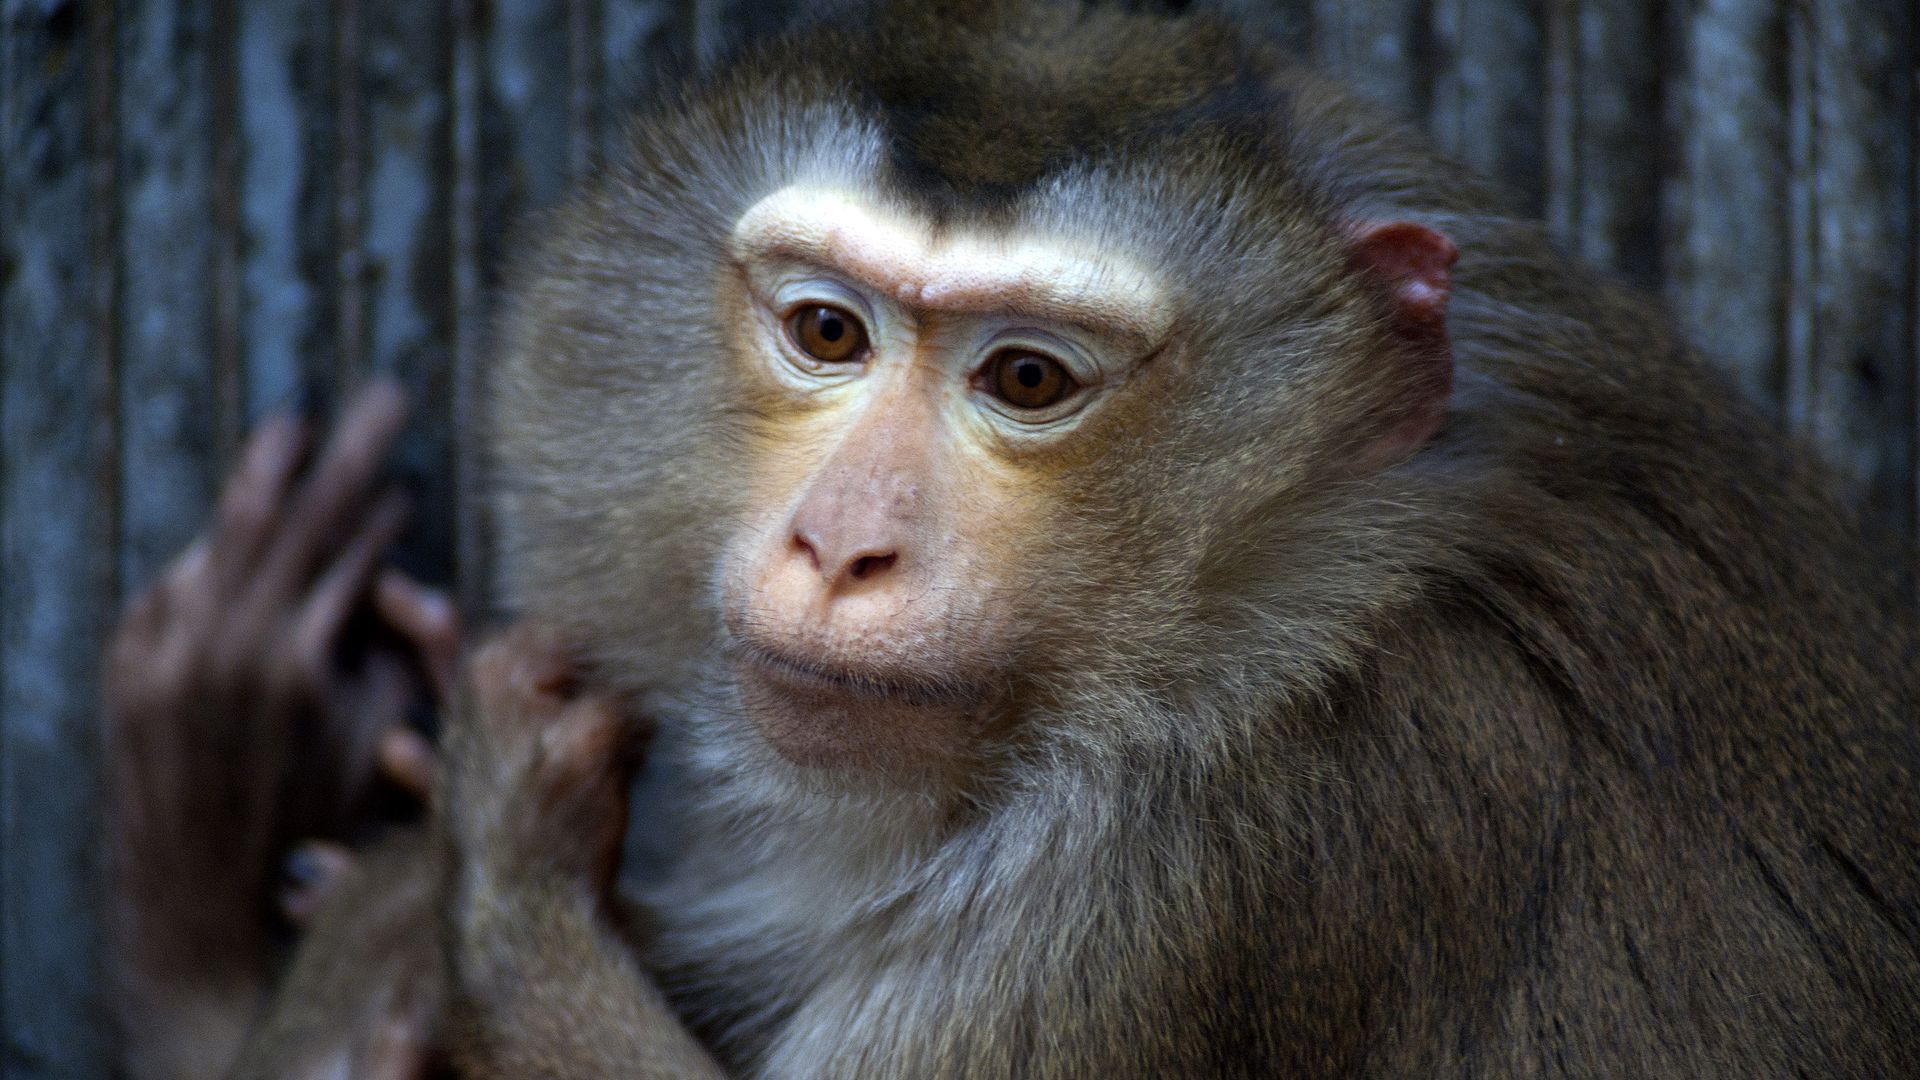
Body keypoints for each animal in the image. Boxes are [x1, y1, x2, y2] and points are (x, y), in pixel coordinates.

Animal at [101, 0, 1920, 1076]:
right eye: (827, 334)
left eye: (1029, 379)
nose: (845, 547)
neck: (1313, 594)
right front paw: (222, 836)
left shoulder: (1200, 883)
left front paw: (477, 870)